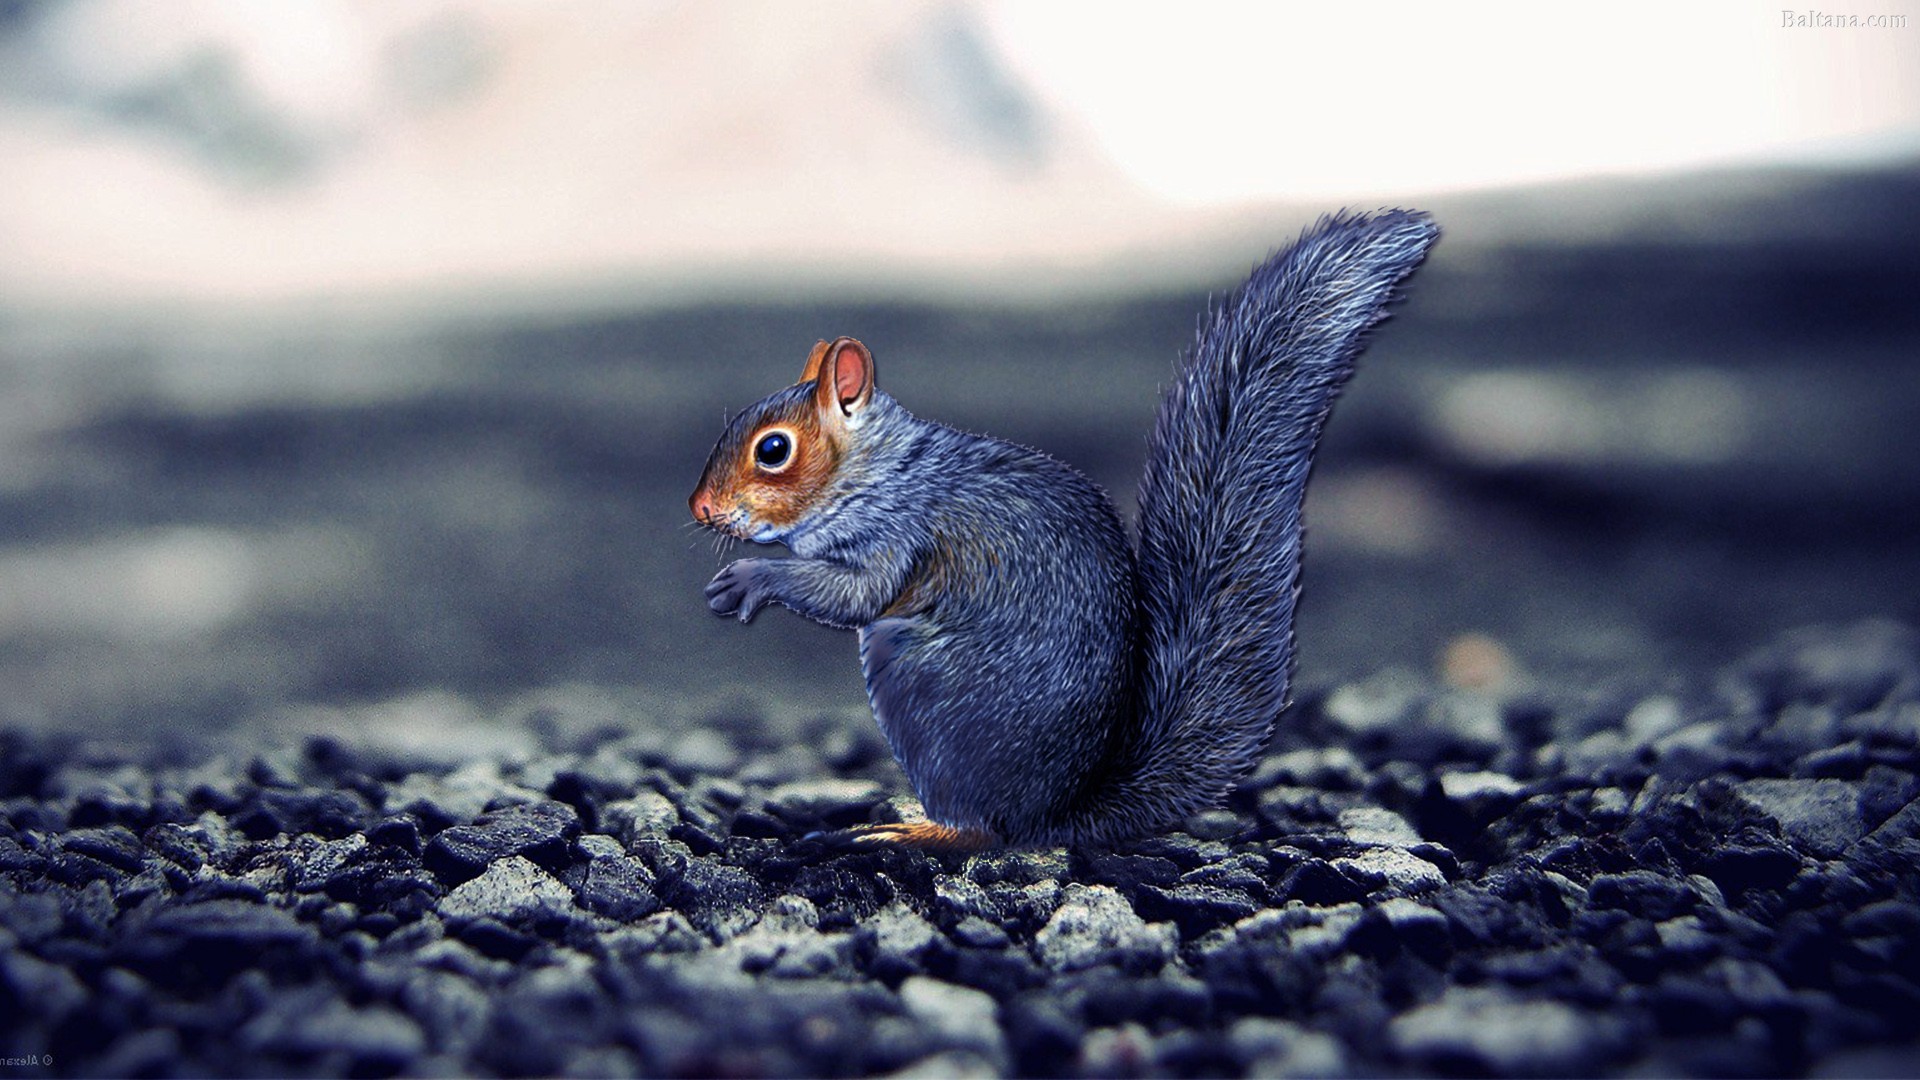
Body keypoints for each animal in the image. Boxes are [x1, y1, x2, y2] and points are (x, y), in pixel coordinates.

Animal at [689, 210, 1439, 850]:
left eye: (774, 449)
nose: (700, 509)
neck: (881, 469)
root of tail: (1057, 813)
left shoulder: (901, 532)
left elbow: (856, 595)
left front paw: (751, 578)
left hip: (926, 697)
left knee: (986, 833)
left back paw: (916, 831)